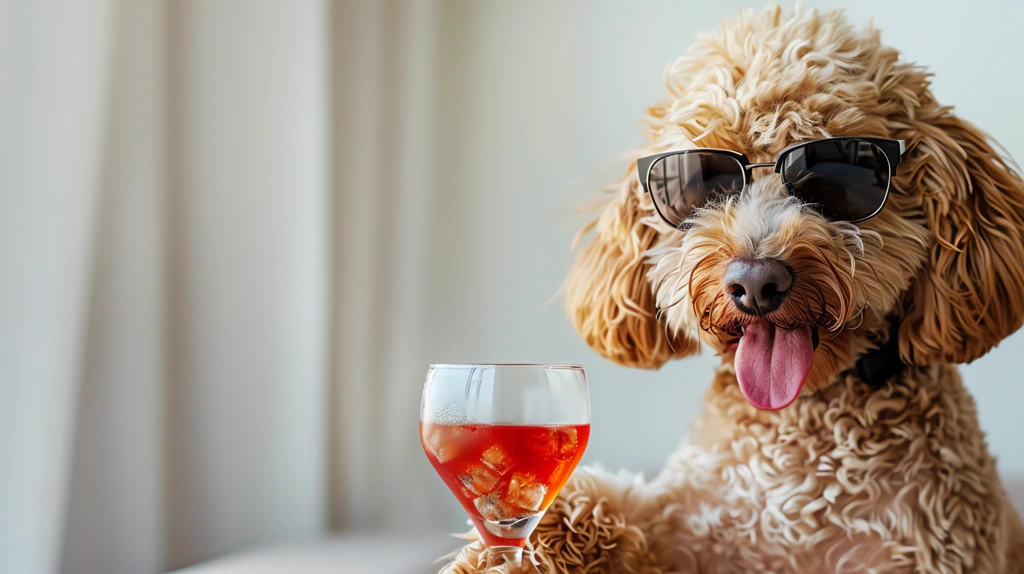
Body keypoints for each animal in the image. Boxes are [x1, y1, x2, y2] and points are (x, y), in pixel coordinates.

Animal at [446, 5, 1024, 572]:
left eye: (840, 174)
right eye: (702, 180)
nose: (756, 282)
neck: (796, 431)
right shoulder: (681, 533)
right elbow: (603, 512)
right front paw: (506, 550)